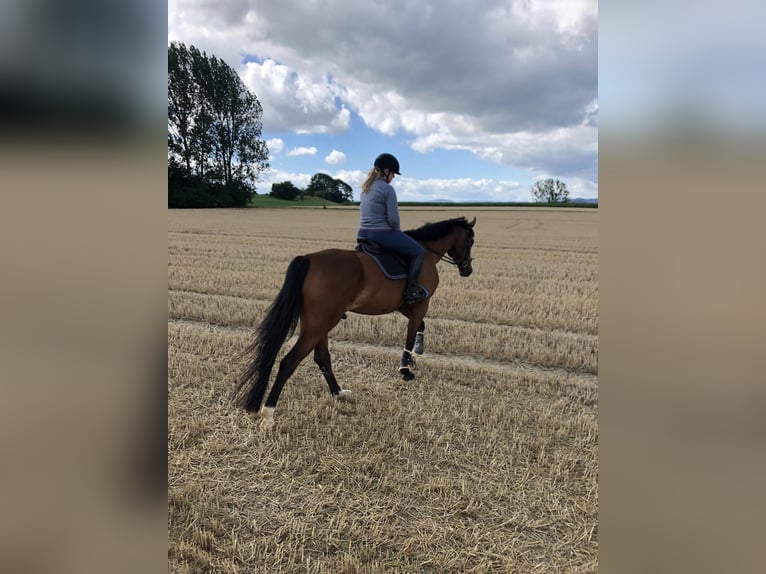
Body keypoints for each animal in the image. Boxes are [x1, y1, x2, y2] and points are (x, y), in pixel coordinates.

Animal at [231, 216, 476, 428]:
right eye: (470, 241)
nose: (468, 270)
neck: (426, 252)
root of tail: (309, 258)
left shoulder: (406, 306)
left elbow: (421, 327)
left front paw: (417, 353)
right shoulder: (419, 305)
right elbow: (411, 333)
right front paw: (406, 369)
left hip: (319, 323)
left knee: (322, 358)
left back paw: (338, 393)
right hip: (318, 325)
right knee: (289, 362)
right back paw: (269, 413)